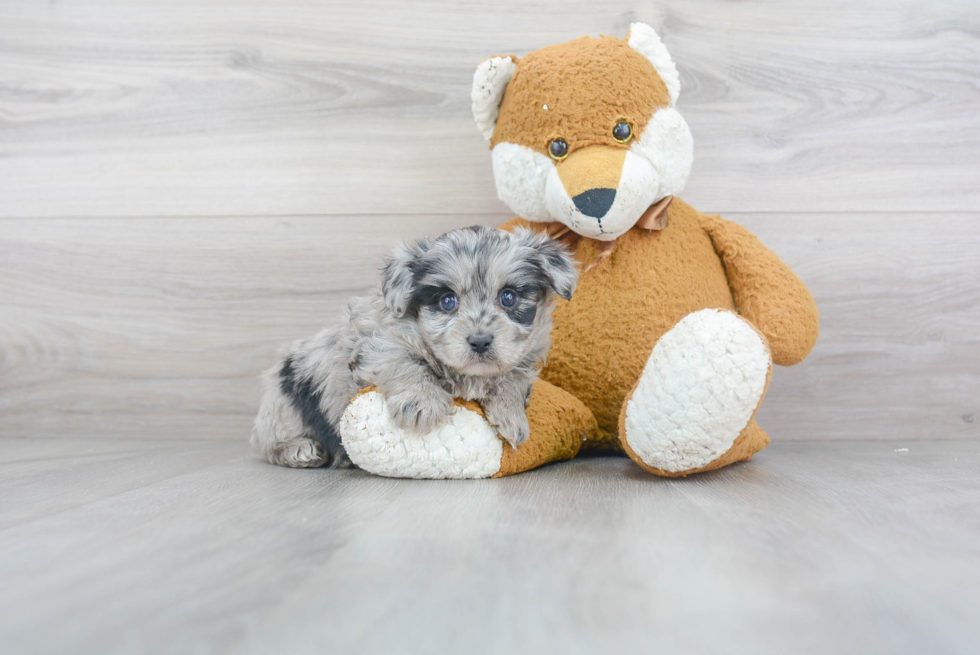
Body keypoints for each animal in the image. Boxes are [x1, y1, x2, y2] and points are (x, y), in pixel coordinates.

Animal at [249, 226, 580, 466]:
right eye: (447, 301)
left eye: (508, 297)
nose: (480, 341)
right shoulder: (379, 340)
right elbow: (405, 362)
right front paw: (423, 404)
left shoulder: (525, 354)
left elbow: (513, 376)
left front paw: (511, 415)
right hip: (284, 404)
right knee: (267, 443)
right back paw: (300, 450)